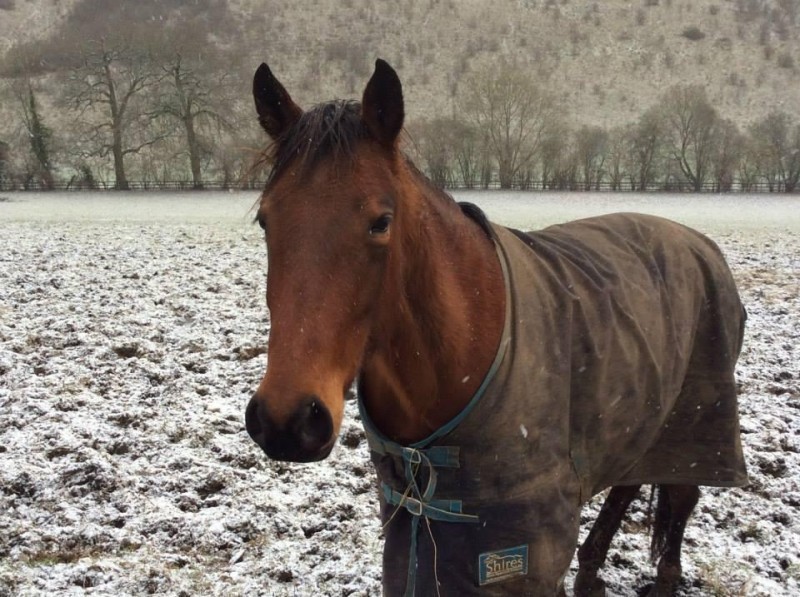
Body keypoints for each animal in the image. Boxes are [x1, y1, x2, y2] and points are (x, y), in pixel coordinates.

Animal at [244, 57, 752, 596]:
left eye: (381, 221)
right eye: (265, 220)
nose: (286, 421)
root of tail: (699, 242)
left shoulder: (524, 542)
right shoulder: (417, 531)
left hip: (698, 419)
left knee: (681, 496)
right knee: (628, 484)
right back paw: (591, 571)